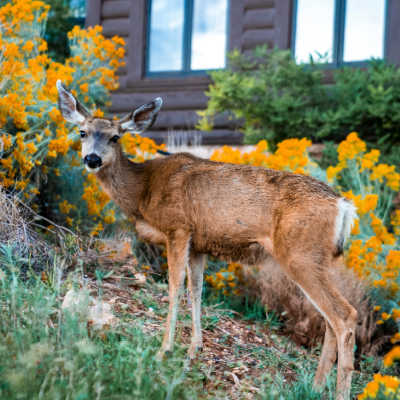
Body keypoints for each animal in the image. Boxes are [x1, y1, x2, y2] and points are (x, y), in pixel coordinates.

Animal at [57, 79, 360, 398]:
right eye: (82, 132)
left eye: (115, 137)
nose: (92, 159)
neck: (143, 190)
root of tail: (343, 206)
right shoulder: (198, 245)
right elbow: (196, 291)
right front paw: (194, 349)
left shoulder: (178, 228)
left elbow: (174, 287)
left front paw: (165, 349)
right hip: (320, 258)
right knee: (330, 319)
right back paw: (315, 386)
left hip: (300, 254)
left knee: (345, 315)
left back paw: (339, 391)